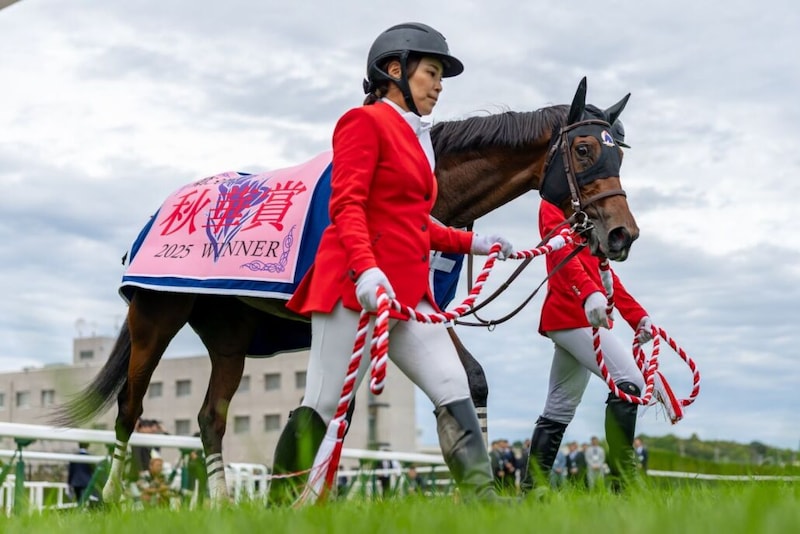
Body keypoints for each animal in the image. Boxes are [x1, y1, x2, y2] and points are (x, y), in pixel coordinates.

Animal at [53, 77, 638, 504]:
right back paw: (106, 499)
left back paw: (220, 502)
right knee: (130, 408)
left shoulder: (417, 310)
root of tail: (161, 211)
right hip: (155, 317)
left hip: (229, 339)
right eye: (584, 148)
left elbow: (468, 381)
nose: (622, 234)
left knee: (211, 417)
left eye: (621, 155)